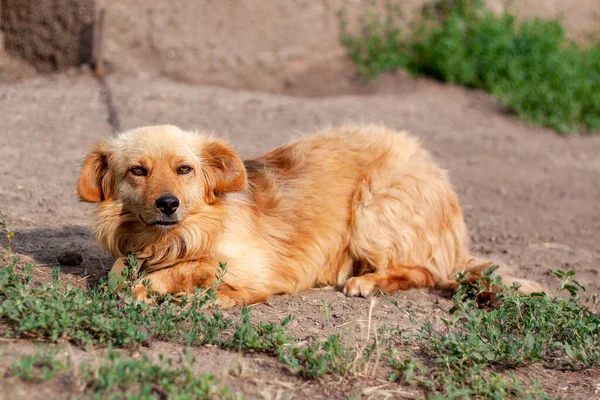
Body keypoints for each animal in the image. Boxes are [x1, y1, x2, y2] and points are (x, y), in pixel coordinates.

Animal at [76, 125, 544, 306]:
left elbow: (188, 272)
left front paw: (167, 290)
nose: (168, 204)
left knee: (426, 271)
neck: (171, 238)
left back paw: (367, 281)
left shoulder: (254, 266)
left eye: (184, 169)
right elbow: (119, 270)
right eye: (138, 171)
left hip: (374, 209)